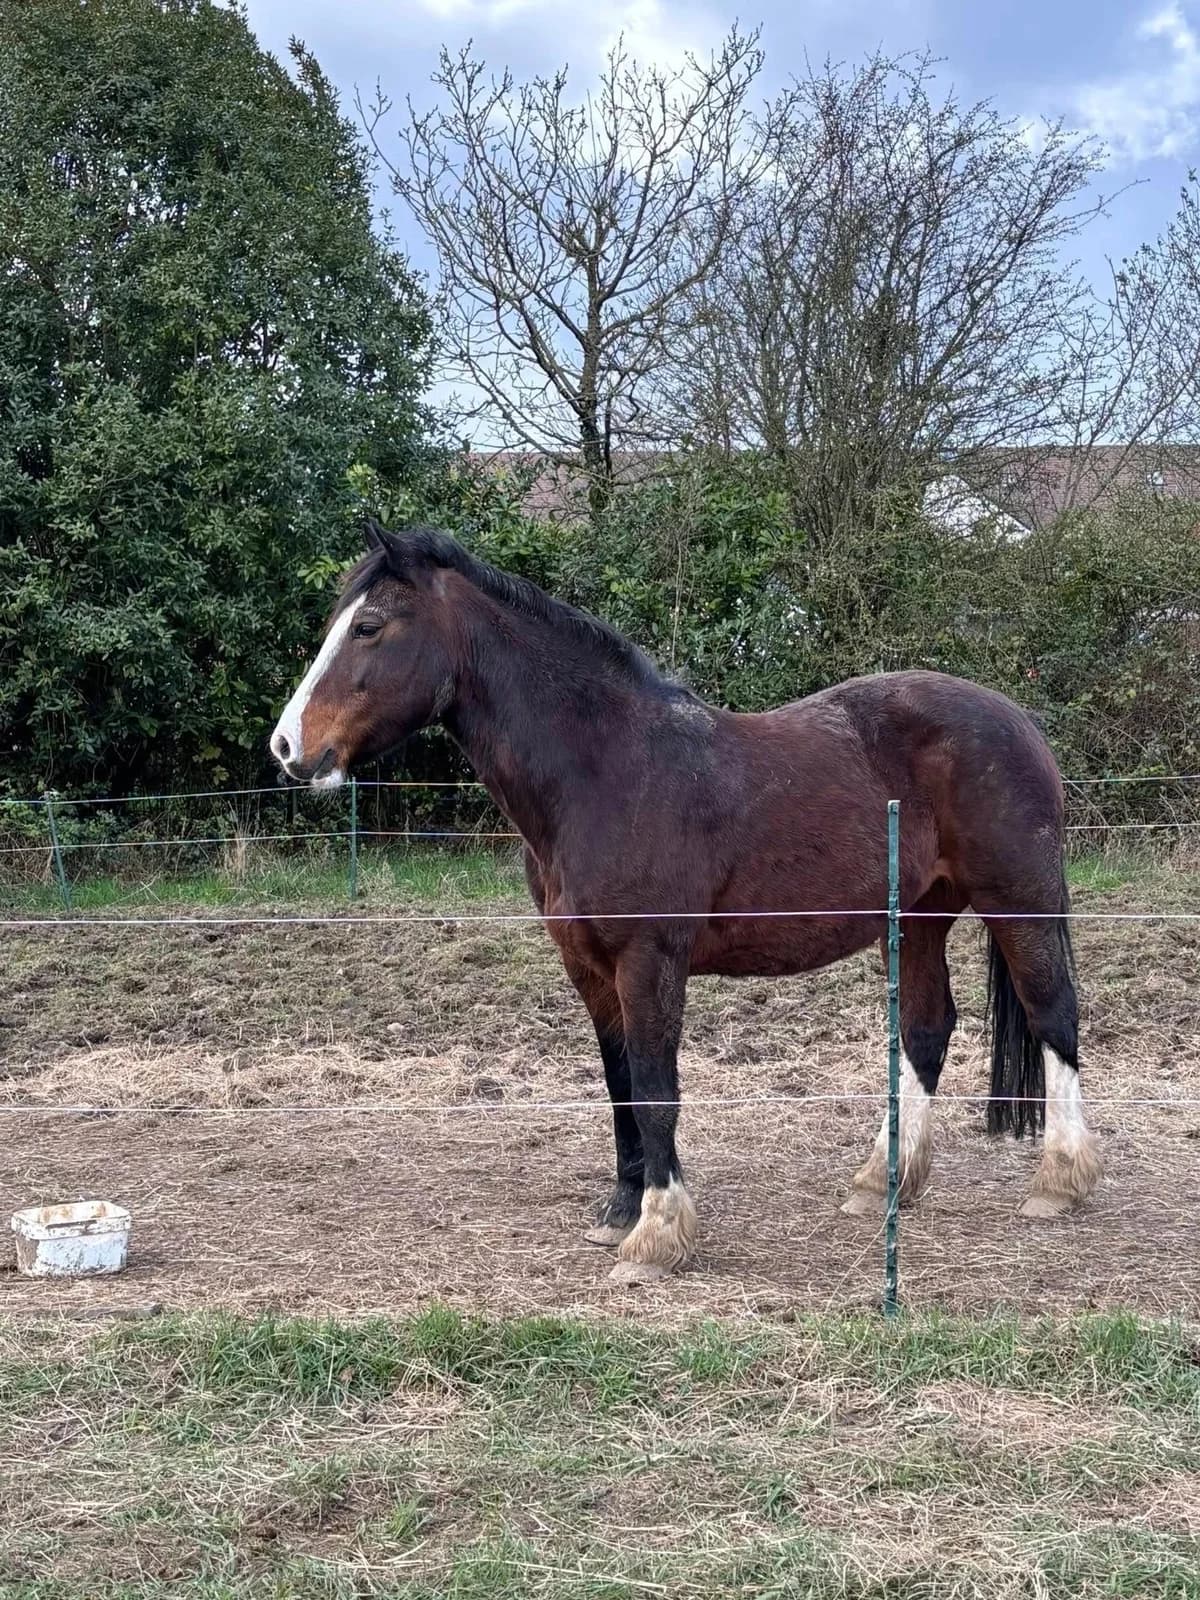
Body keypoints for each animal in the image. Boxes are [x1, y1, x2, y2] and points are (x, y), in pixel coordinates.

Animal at [269, 518, 1102, 1284]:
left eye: (370, 626)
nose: (286, 748)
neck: (605, 770)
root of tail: (1018, 720)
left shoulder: (650, 960)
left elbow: (656, 1088)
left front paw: (656, 1234)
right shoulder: (591, 969)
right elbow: (620, 1086)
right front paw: (620, 1210)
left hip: (1018, 900)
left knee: (1053, 1013)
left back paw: (1060, 1182)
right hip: (923, 914)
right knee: (927, 1031)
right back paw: (883, 1182)